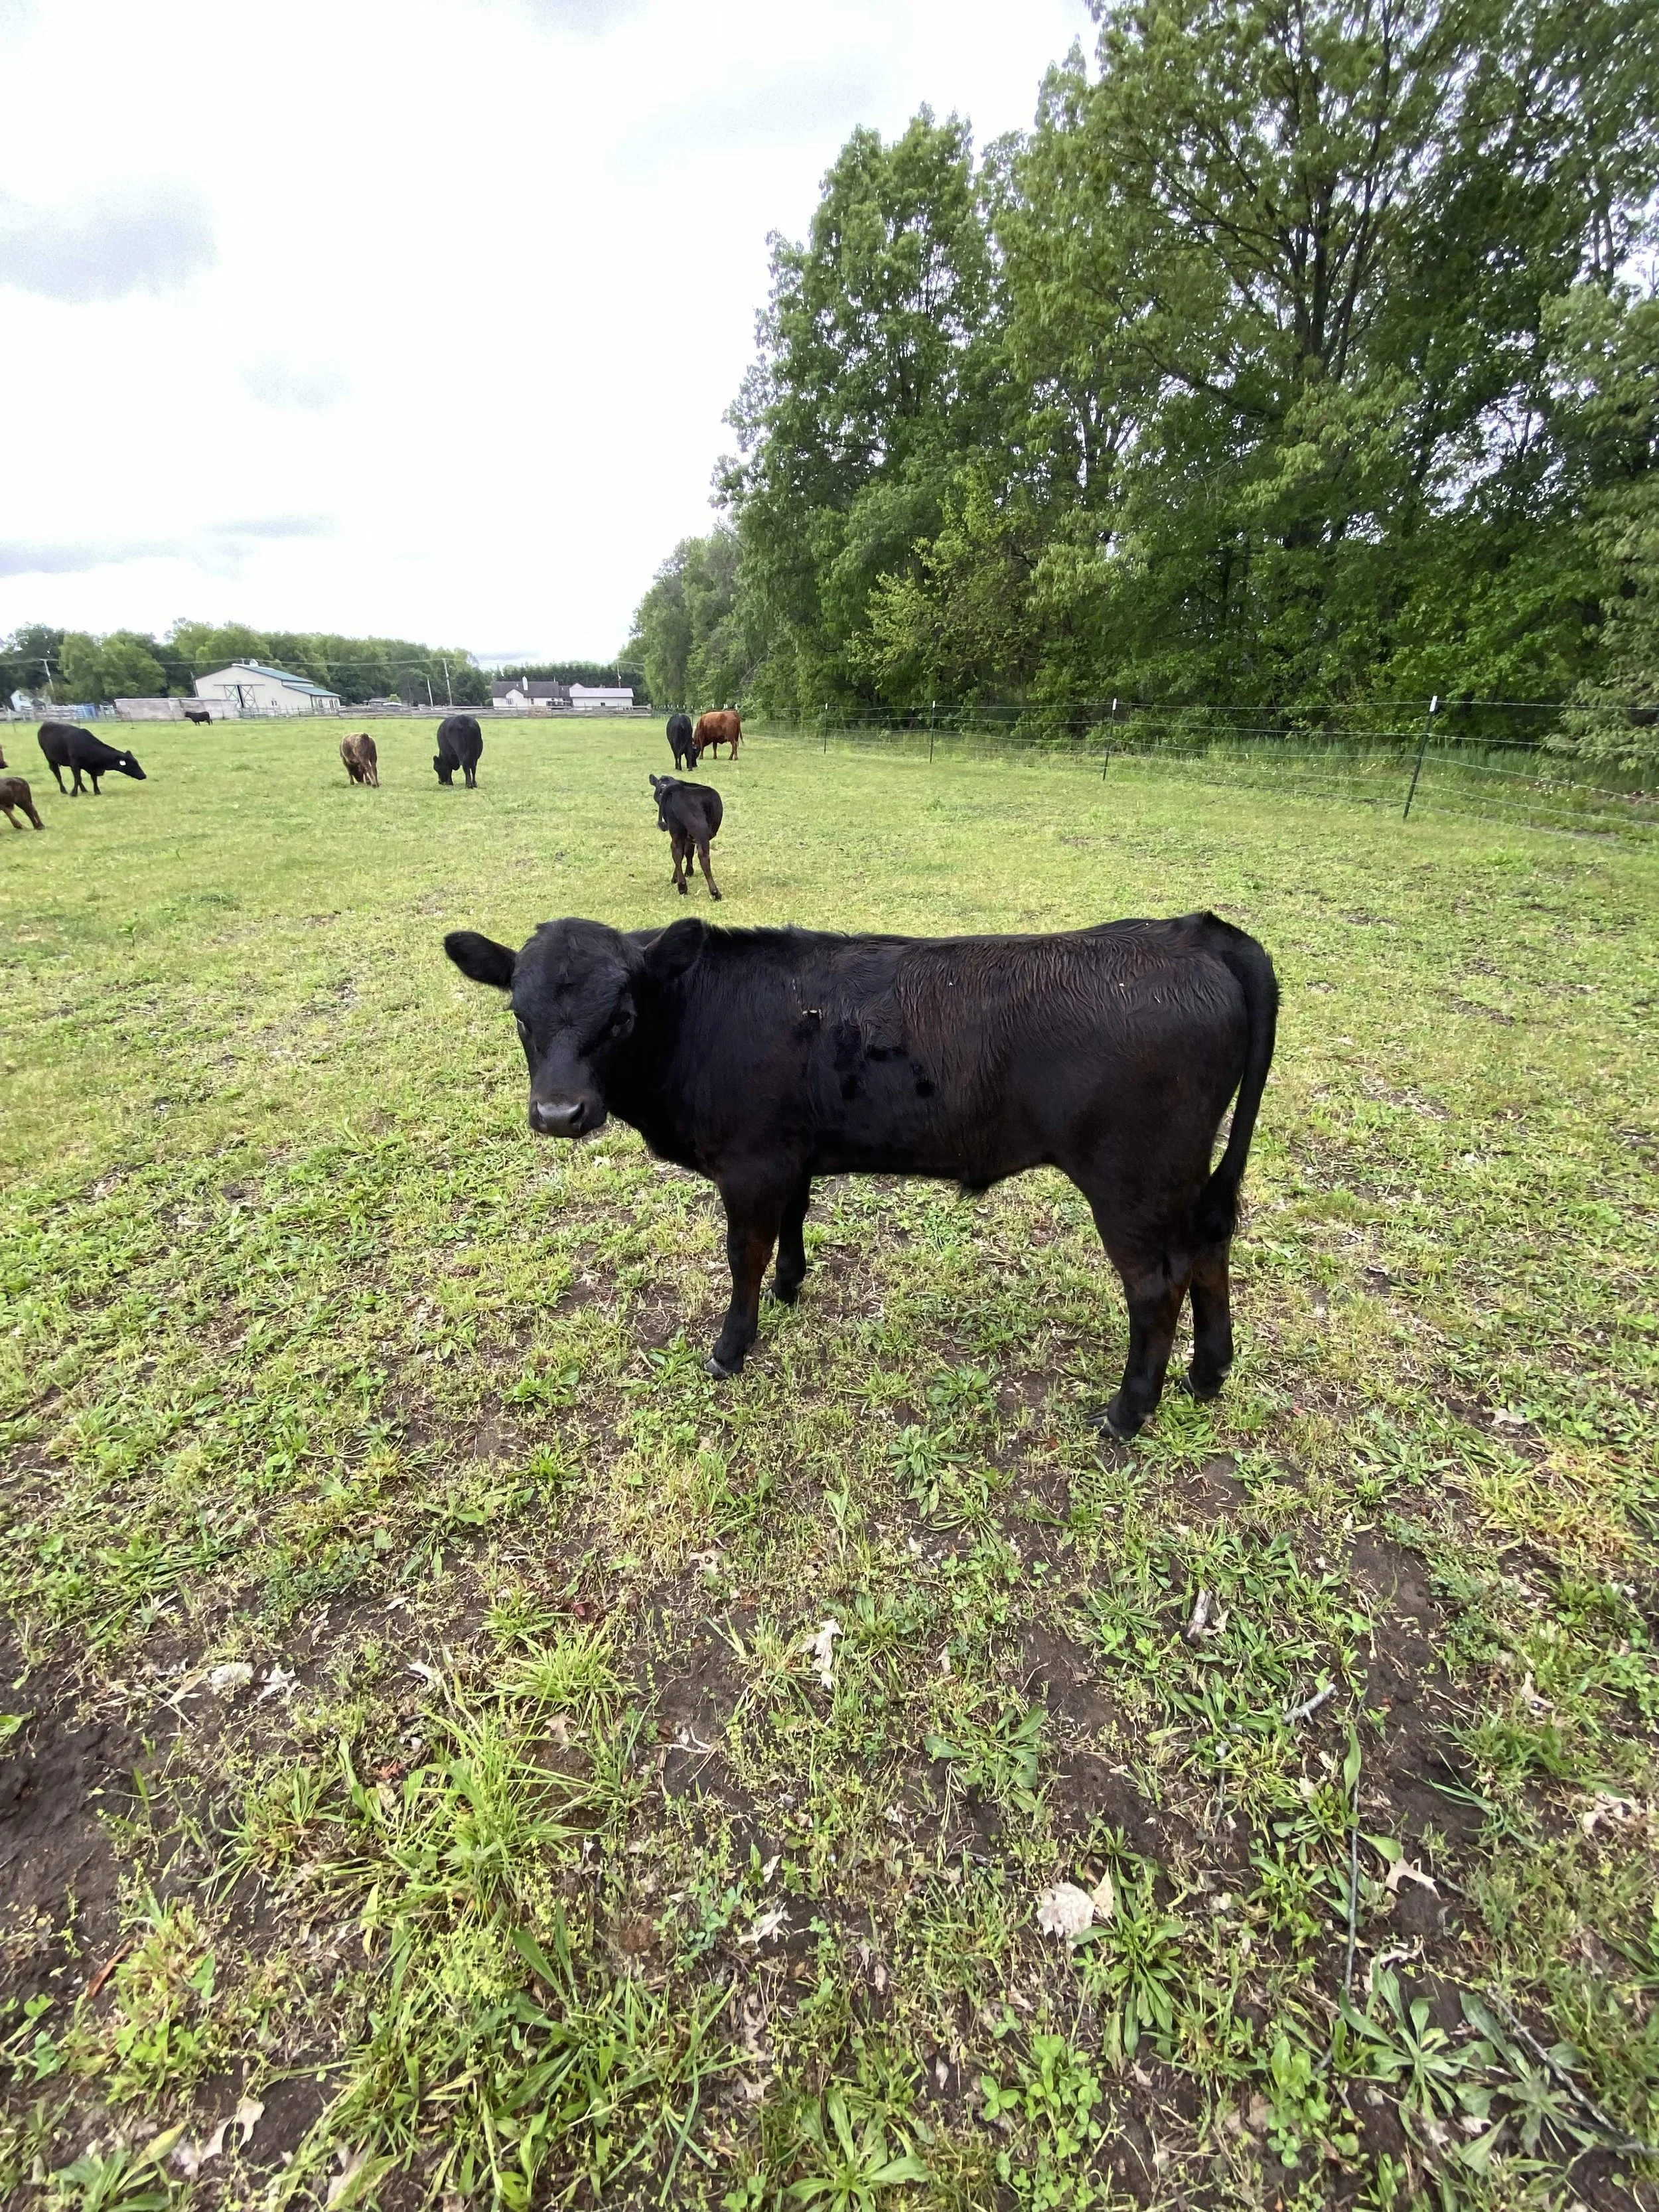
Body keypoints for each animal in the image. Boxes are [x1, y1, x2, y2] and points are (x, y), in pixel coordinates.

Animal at [37, 722, 146, 796]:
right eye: (133, 765)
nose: (144, 776)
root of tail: (45, 724)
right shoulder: (75, 764)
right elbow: (78, 778)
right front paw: (73, 793)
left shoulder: (92, 767)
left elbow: (93, 779)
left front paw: (97, 791)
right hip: (51, 759)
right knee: (58, 774)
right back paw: (64, 790)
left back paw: (84, 790)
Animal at [443, 909, 1278, 1437]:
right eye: (519, 1017)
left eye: (621, 1016)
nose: (560, 1112)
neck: (696, 1019)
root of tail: (1194, 933)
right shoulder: (787, 1153)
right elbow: (793, 1219)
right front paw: (791, 1284)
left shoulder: (748, 1164)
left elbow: (742, 1256)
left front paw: (731, 1347)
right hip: (1183, 1175)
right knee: (1209, 1248)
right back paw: (1208, 1373)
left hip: (1131, 1179)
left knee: (1157, 1283)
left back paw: (1128, 1413)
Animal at [648, 773, 723, 899]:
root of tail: (676, 789)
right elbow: (689, 853)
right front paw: (689, 872)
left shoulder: (686, 836)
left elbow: (685, 853)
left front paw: (677, 878)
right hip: (700, 828)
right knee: (703, 856)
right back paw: (715, 892)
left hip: (676, 829)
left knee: (676, 851)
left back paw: (682, 887)